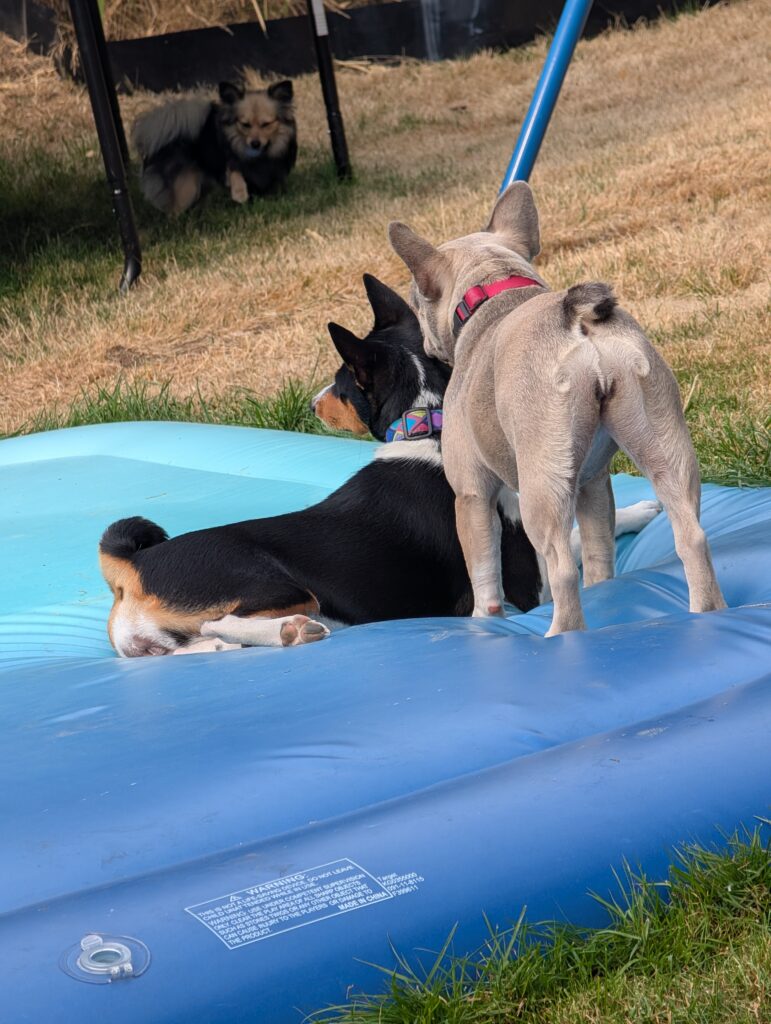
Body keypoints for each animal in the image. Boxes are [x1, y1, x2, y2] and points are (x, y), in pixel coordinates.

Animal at [98, 274, 660, 657]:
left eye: (340, 384)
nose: (311, 403)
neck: (426, 424)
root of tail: (130, 567)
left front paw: (640, 510)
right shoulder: (526, 587)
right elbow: (575, 543)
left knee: (198, 644)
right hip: (279, 587)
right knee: (225, 622)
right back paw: (290, 631)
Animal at [132, 79, 297, 215]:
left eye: (266, 125)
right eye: (245, 125)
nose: (254, 143)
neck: (260, 157)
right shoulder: (229, 158)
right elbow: (234, 169)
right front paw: (239, 193)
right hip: (186, 185)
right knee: (176, 208)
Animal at [388, 182, 726, 636]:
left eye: (416, 298)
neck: (493, 287)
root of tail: (577, 320)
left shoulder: (471, 495)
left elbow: (484, 571)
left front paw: (485, 623)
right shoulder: (592, 484)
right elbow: (600, 553)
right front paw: (603, 591)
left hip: (540, 484)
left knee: (562, 569)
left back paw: (559, 637)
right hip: (661, 444)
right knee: (691, 536)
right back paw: (706, 613)